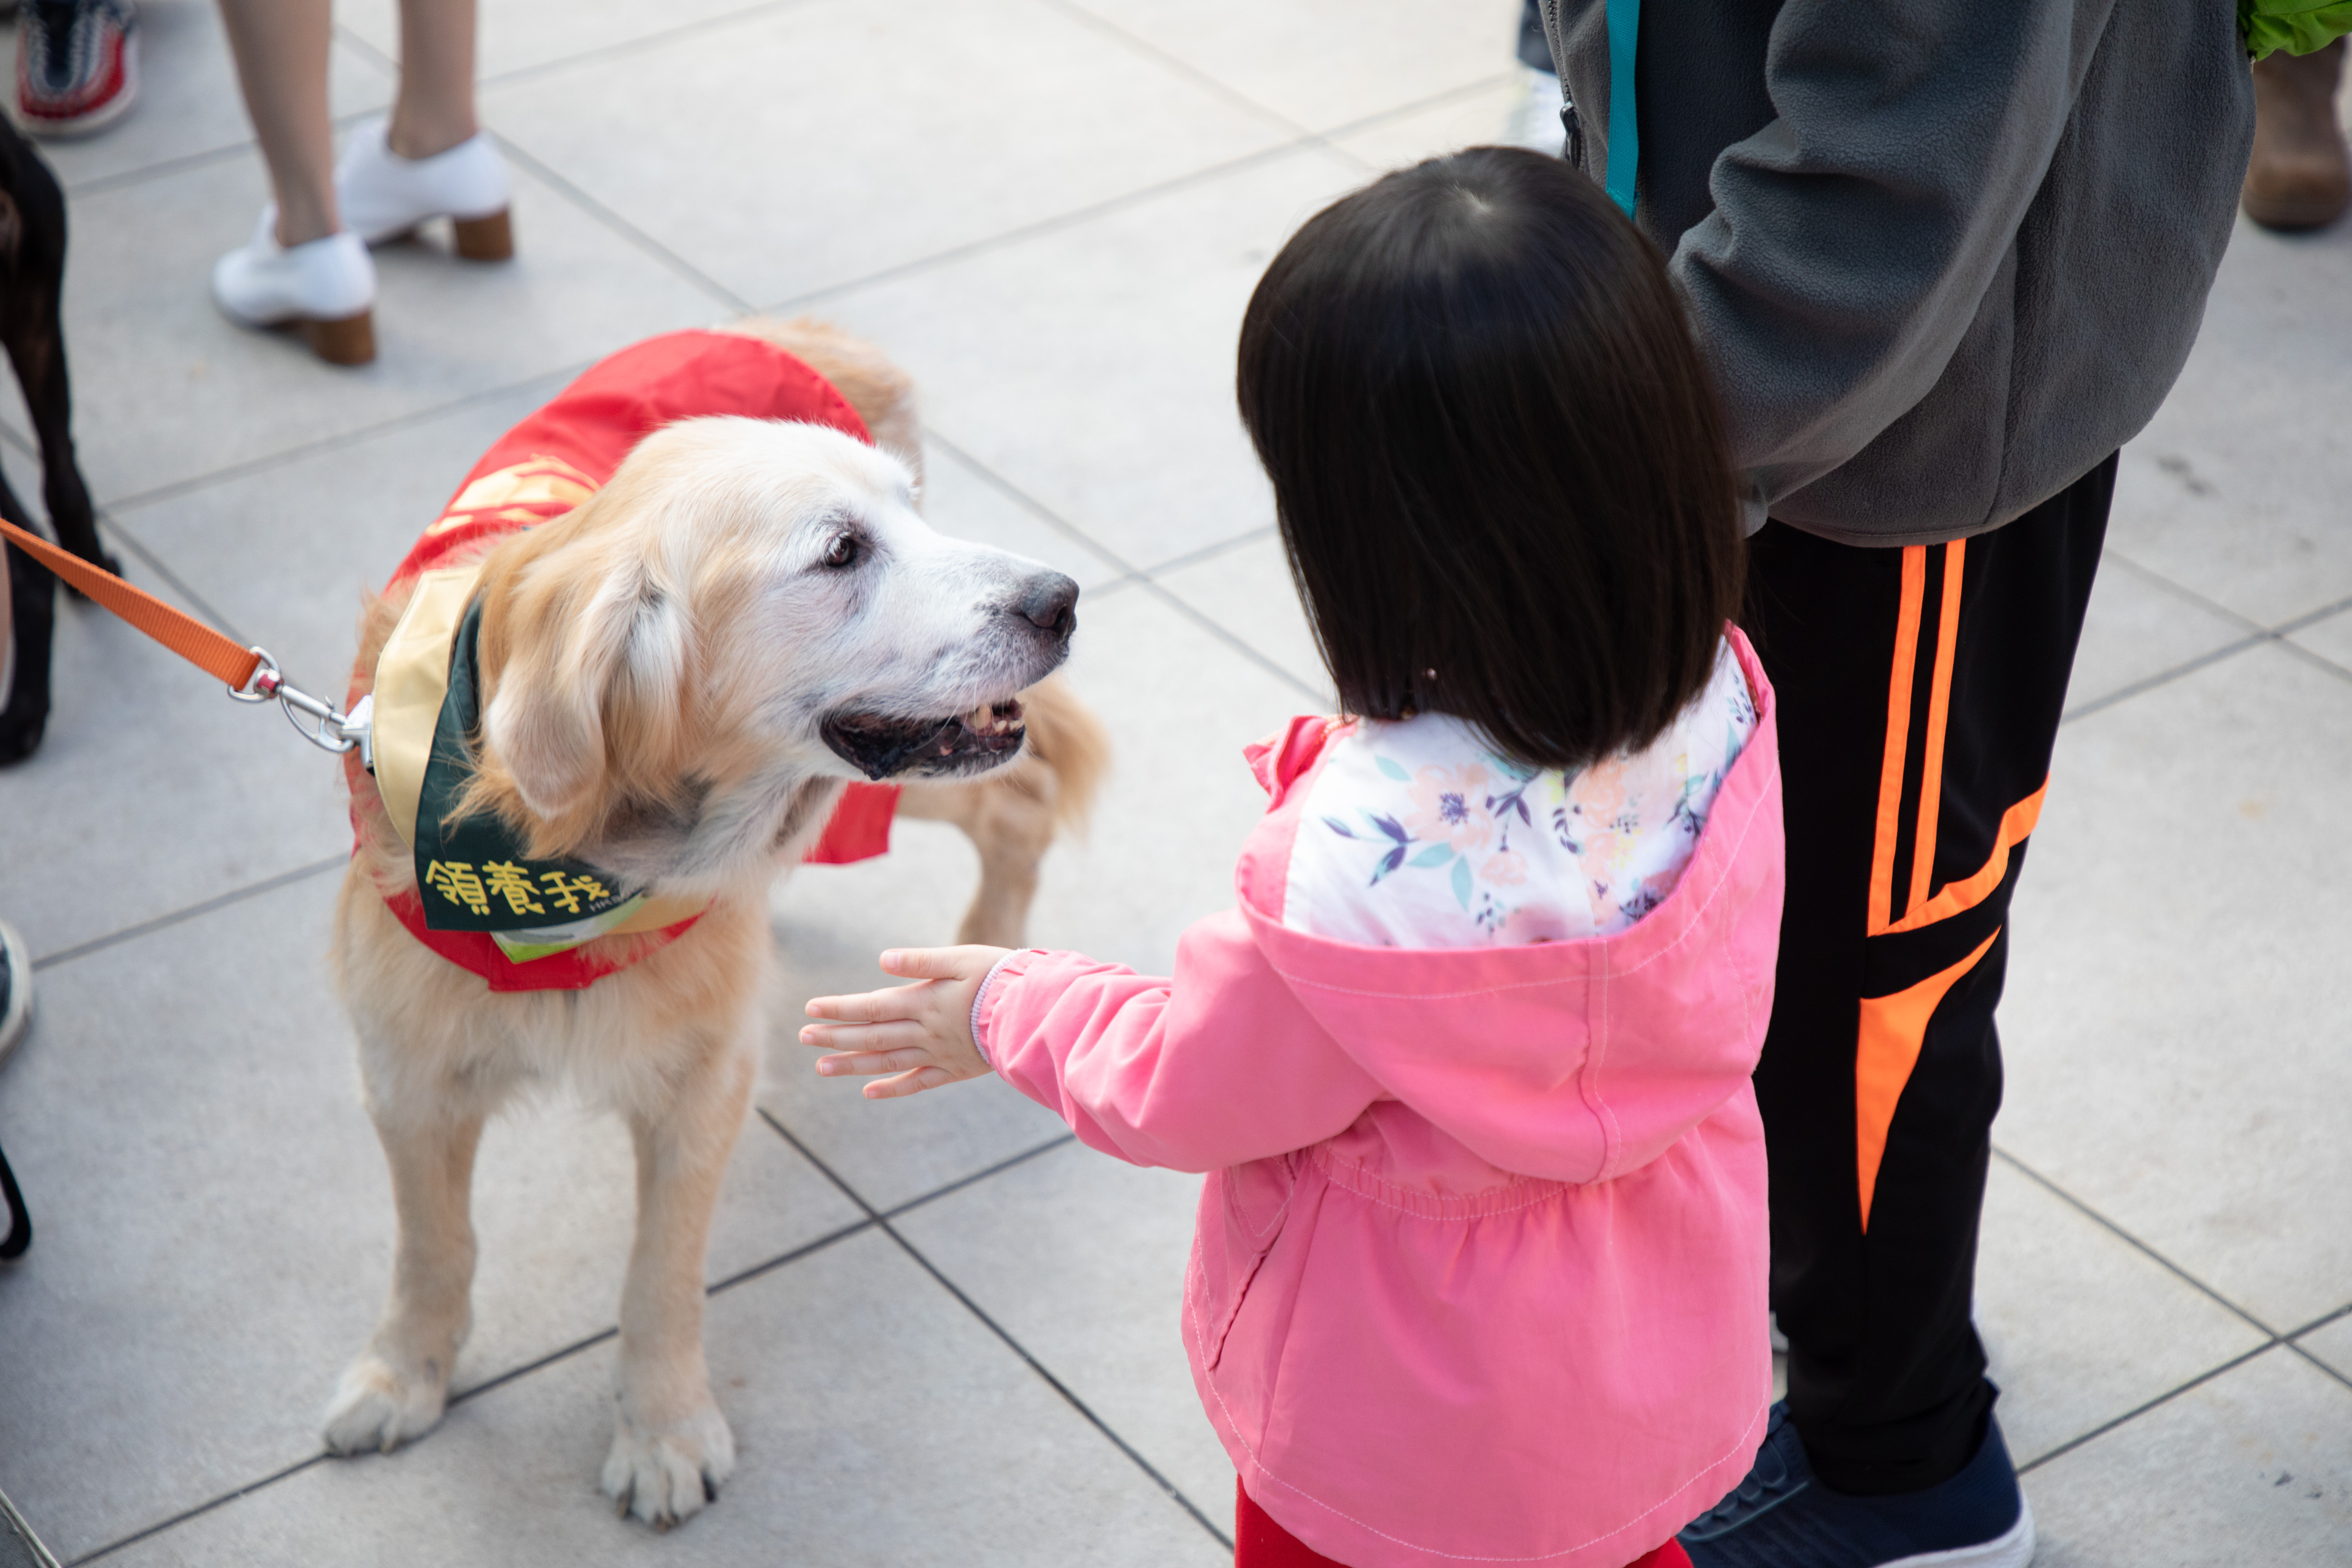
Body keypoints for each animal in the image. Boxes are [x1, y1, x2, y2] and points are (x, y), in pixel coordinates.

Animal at [320, 313, 1110, 1523]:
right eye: (842, 553)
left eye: (907, 518)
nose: (1061, 599)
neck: (576, 886)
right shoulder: (405, 1071)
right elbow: (433, 1245)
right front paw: (404, 1374)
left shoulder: (699, 1091)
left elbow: (662, 1281)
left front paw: (665, 1431)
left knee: (1019, 800)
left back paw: (985, 966)